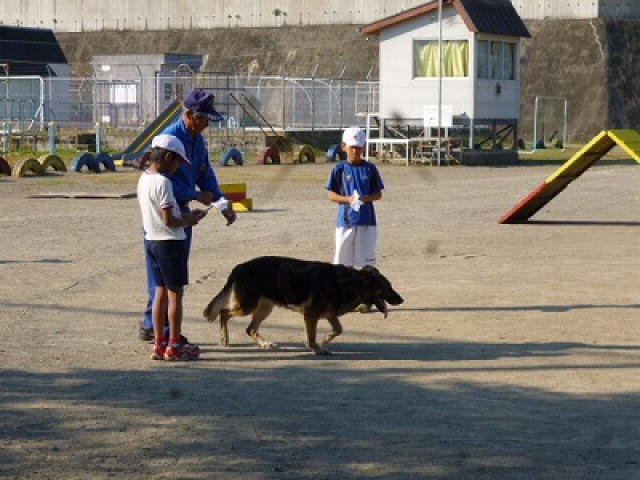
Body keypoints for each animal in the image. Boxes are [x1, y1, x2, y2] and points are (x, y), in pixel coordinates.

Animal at [204, 256, 404, 354]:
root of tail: (239, 267)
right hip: (248, 306)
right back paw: (224, 339)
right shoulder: (311, 316)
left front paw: (324, 341)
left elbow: (338, 330)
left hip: (264, 308)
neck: (348, 282)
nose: (401, 300)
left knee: (250, 328)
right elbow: (311, 336)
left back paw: (264, 343)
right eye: (388, 287)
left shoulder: (330, 315)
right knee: (223, 313)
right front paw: (316, 349)